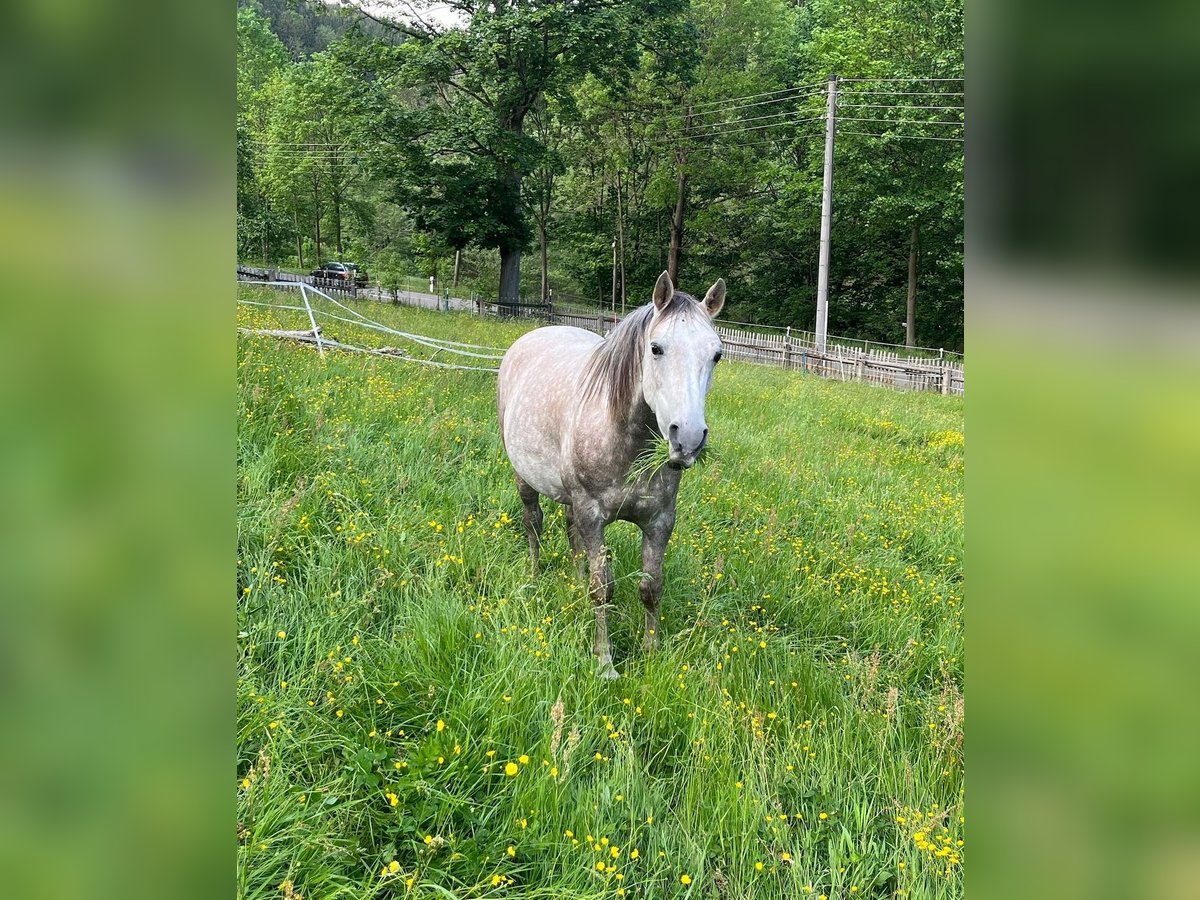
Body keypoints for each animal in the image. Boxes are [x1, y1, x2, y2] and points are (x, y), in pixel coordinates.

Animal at [494, 271, 720, 681]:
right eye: (656, 348)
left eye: (716, 354)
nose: (688, 439)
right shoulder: (593, 514)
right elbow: (603, 590)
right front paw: (605, 663)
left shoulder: (660, 520)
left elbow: (651, 587)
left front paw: (651, 653)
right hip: (525, 478)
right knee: (533, 523)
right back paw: (534, 577)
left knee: (570, 533)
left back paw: (574, 577)